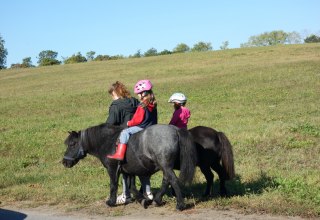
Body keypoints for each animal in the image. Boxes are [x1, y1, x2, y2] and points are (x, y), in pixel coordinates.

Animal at [62, 123, 198, 211]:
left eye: (72, 144)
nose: (64, 162)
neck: (108, 141)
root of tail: (175, 130)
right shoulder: (128, 171)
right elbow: (131, 186)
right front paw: (143, 199)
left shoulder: (112, 169)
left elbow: (113, 185)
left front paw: (111, 202)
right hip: (165, 166)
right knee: (166, 180)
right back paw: (157, 200)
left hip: (165, 165)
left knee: (173, 180)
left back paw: (180, 205)